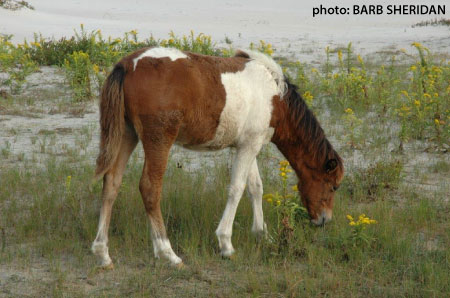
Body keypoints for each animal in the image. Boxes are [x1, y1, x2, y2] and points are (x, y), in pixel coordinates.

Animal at [91, 47, 344, 268]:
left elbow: (255, 188)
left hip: (127, 134)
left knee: (111, 183)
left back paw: (103, 253)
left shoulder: (248, 145)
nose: (324, 220)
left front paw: (262, 234)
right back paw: (167, 253)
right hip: (158, 139)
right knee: (150, 188)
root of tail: (127, 65)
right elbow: (237, 189)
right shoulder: (249, 147)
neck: (275, 97)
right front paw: (226, 244)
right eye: (333, 186)